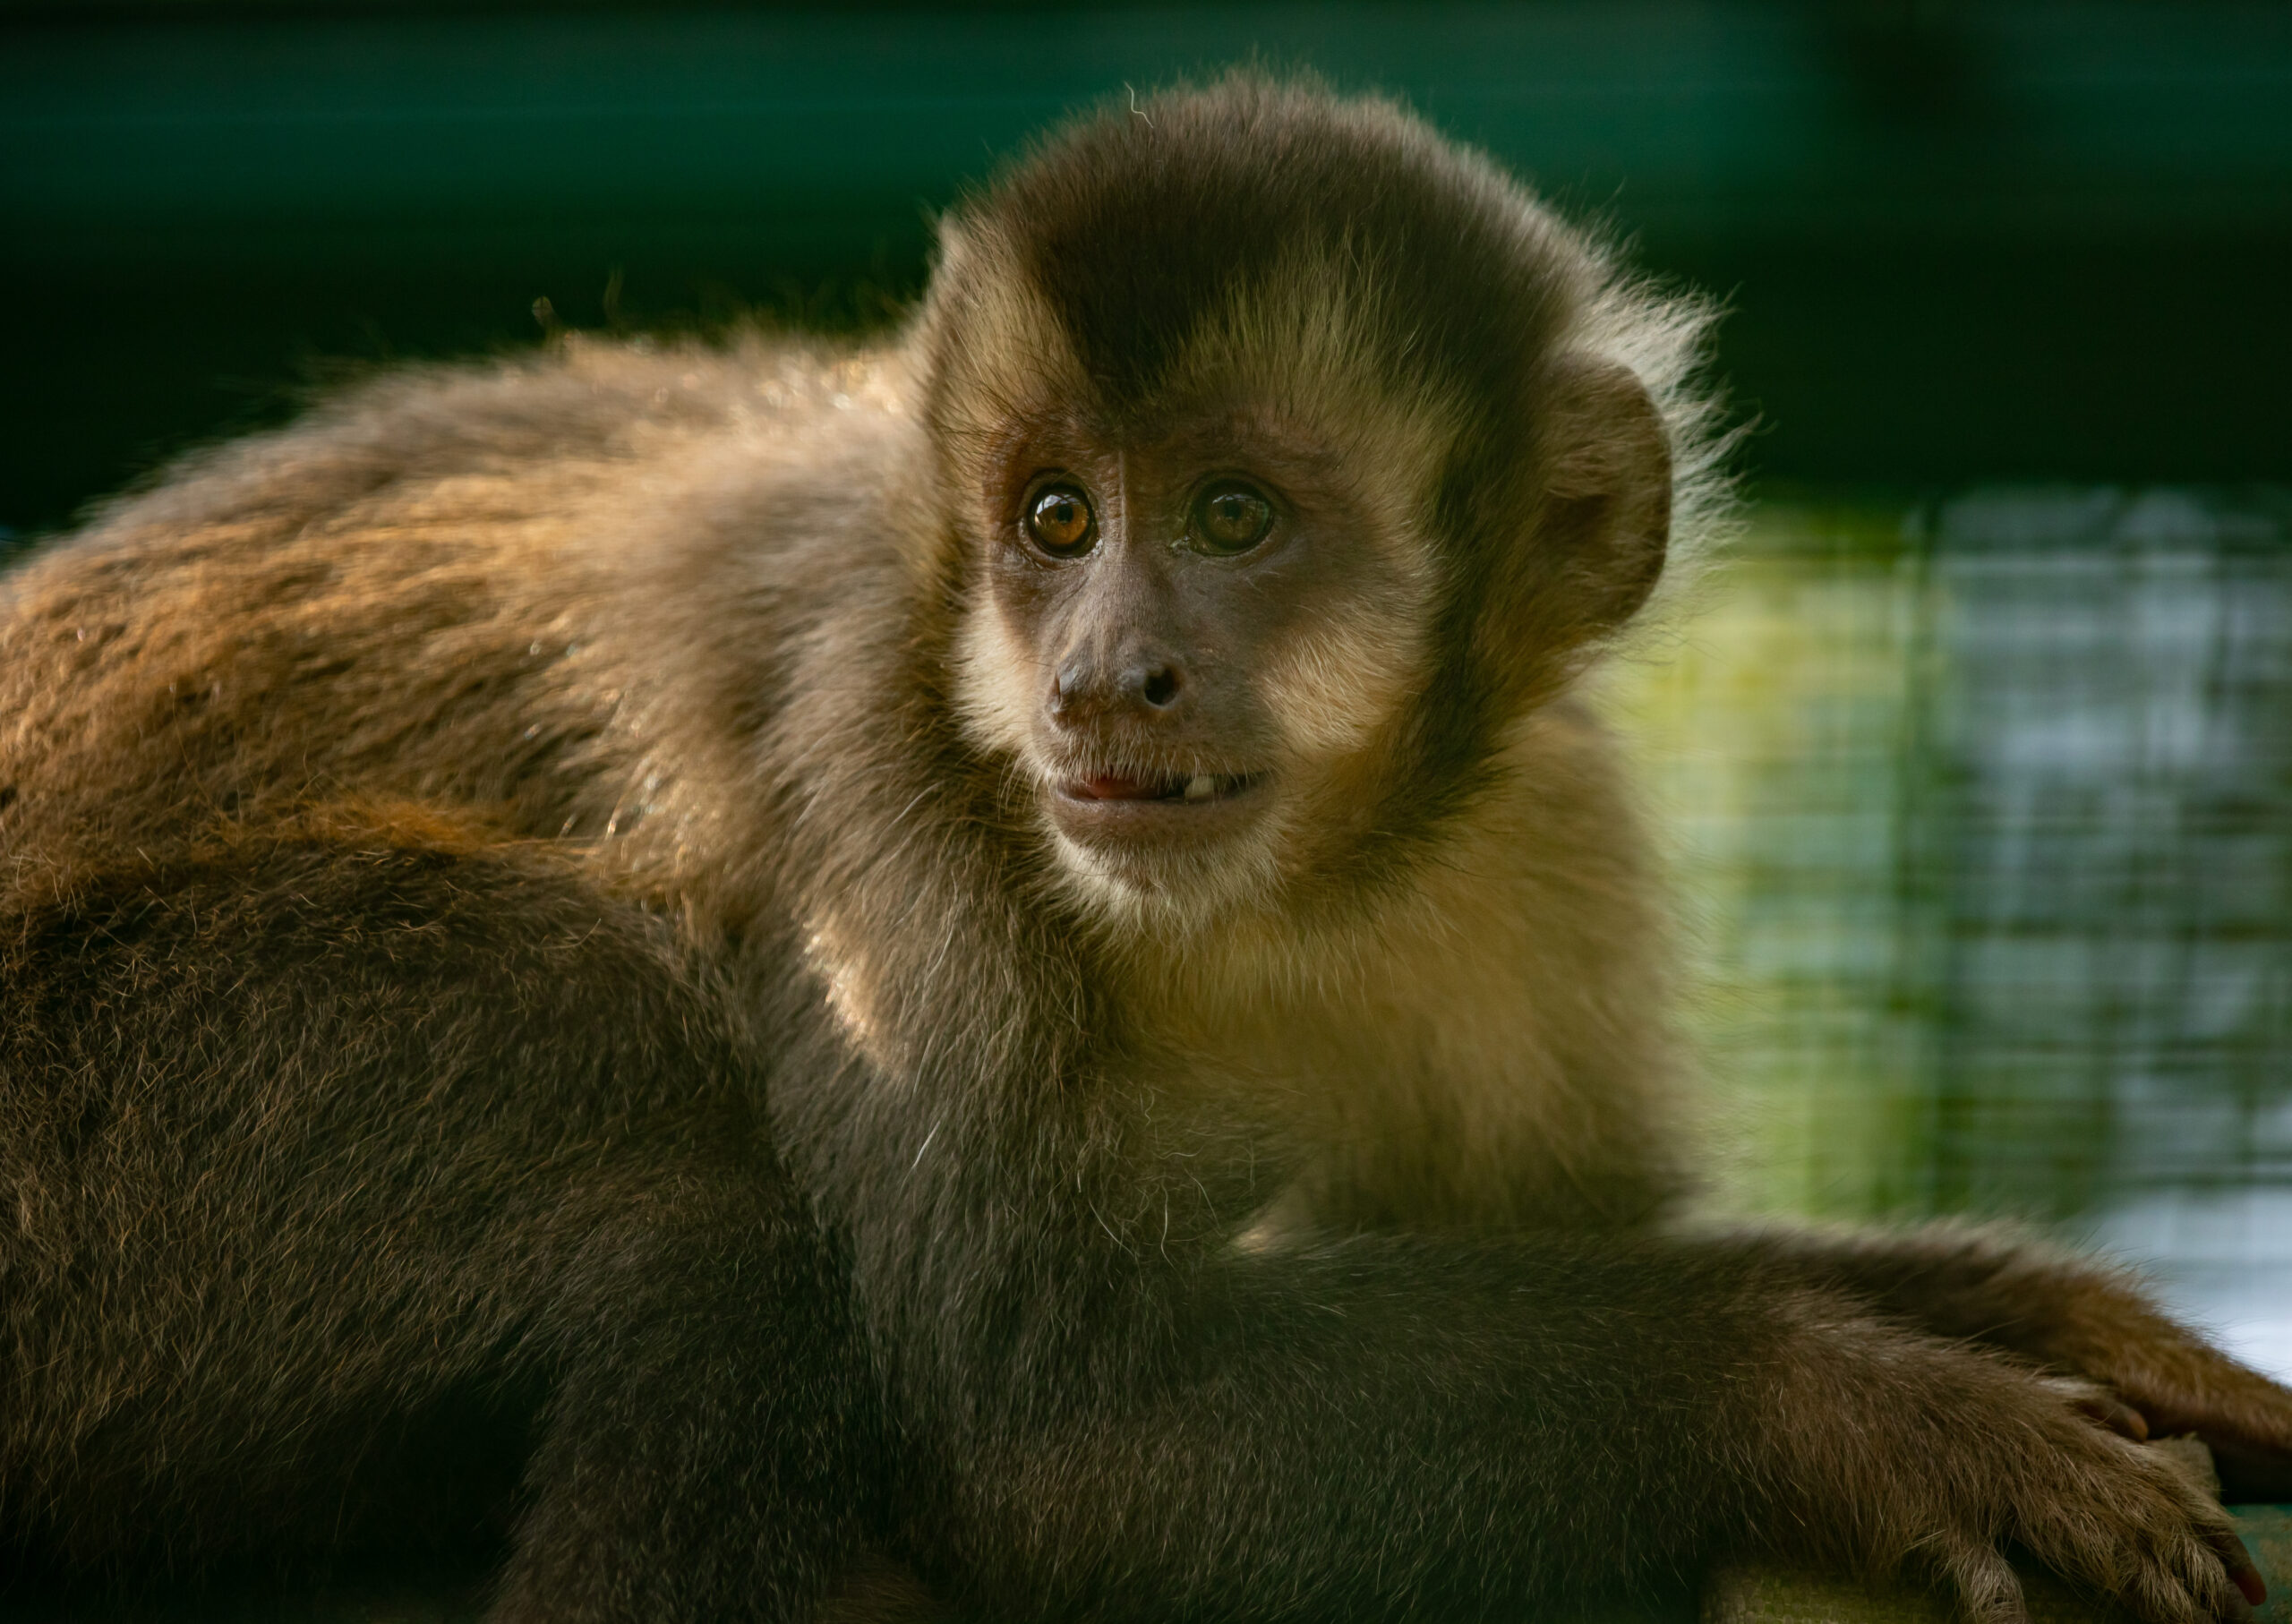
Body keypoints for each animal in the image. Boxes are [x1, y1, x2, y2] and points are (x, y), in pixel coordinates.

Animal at [4, 73, 2292, 1621]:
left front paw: (2003, 1309)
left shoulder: (1536, 838)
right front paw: (1839, 1401)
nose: (1107, 679)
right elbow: (1051, 1453)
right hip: (66, 1178)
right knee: (655, 1144)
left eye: (1230, 518)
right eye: (1051, 521)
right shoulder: (877, 759)